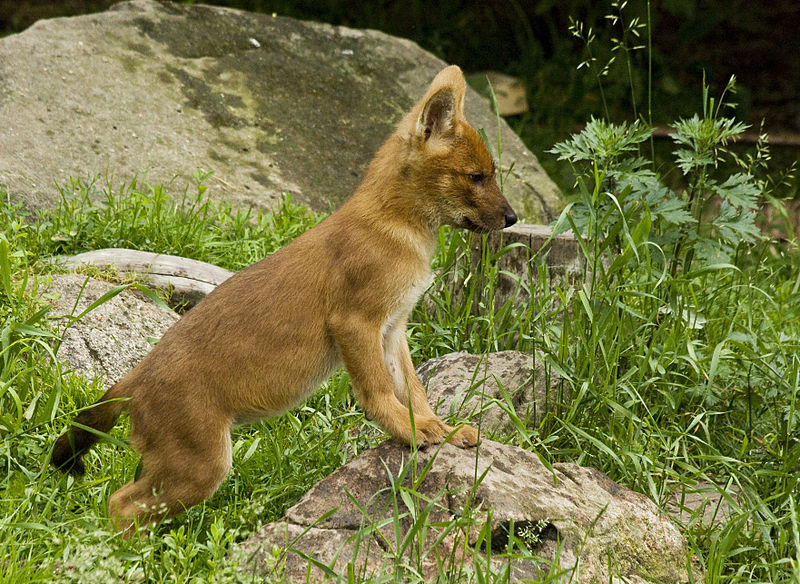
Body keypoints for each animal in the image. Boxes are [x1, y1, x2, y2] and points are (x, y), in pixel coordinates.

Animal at [54, 65, 520, 532]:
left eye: (490, 173)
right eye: (476, 176)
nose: (513, 218)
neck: (398, 229)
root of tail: (131, 380)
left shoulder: (393, 329)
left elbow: (414, 389)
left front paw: (443, 429)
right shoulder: (355, 323)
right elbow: (378, 392)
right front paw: (408, 431)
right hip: (200, 465)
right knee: (118, 505)